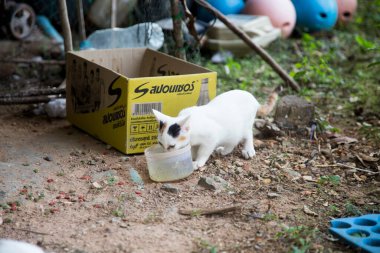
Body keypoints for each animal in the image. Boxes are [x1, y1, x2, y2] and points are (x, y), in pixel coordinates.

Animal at [152, 89, 280, 170]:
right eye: (160, 144)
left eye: (172, 146)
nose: (165, 155)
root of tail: (253, 98)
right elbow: (192, 149)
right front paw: (191, 157)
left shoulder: (211, 138)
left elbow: (203, 151)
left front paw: (198, 162)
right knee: (233, 140)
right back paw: (224, 150)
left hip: (246, 125)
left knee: (248, 135)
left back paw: (248, 150)